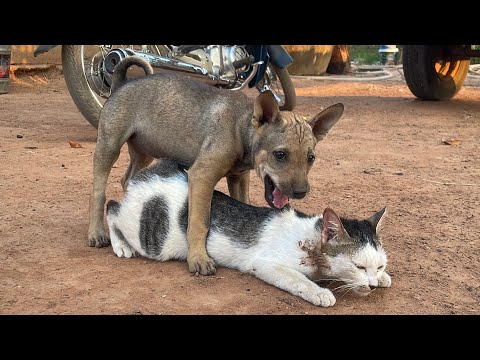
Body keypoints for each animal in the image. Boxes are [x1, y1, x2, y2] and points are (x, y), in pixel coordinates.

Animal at [107, 160, 392, 306]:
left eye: (378, 266)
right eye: (358, 266)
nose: (372, 285)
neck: (311, 240)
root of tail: (158, 169)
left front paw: (384, 279)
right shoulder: (265, 264)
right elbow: (299, 280)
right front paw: (320, 292)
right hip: (154, 240)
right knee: (112, 208)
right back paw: (121, 246)